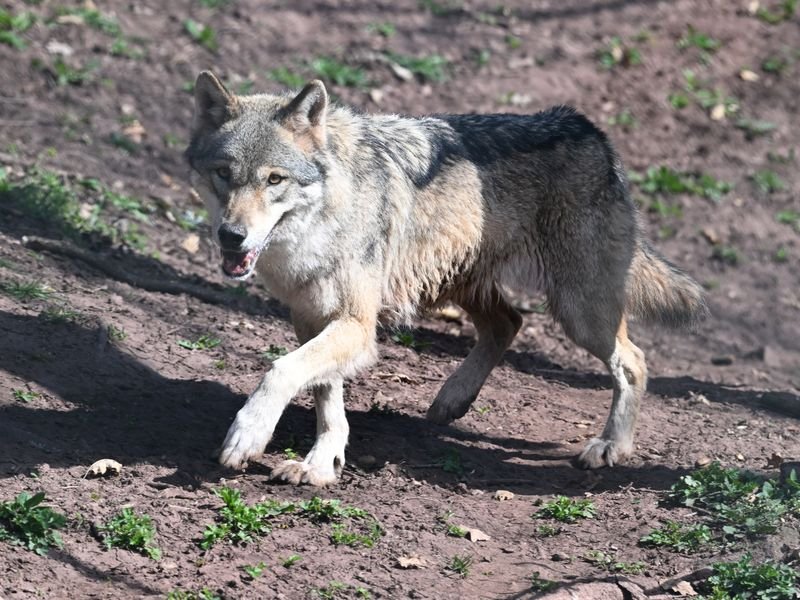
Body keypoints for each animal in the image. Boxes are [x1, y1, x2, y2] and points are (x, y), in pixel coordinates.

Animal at [185, 71, 706, 486]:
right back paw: (453, 400)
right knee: (509, 324)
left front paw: (248, 434)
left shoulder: (356, 326)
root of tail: (589, 129)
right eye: (224, 174)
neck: (324, 218)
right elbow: (324, 393)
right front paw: (321, 463)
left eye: (274, 180)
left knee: (632, 361)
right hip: (457, 284)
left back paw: (611, 446)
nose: (231, 236)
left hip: (579, 312)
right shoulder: (312, 319)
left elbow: (281, 370)